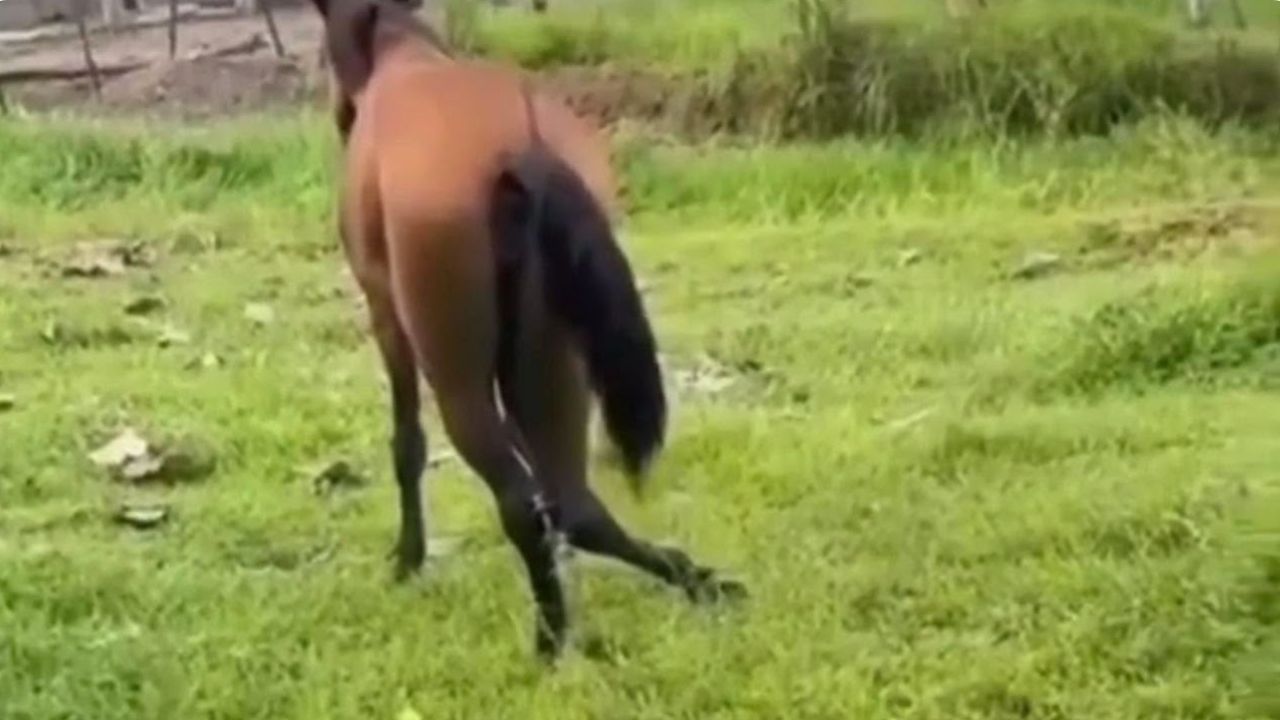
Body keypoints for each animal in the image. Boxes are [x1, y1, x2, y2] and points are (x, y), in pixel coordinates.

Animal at [306, 0, 746, 659]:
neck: (402, 52)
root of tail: (521, 152)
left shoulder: (385, 313)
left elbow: (407, 444)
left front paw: (408, 559)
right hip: (554, 357)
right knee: (569, 500)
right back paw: (690, 578)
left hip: (459, 373)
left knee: (521, 500)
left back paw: (551, 637)